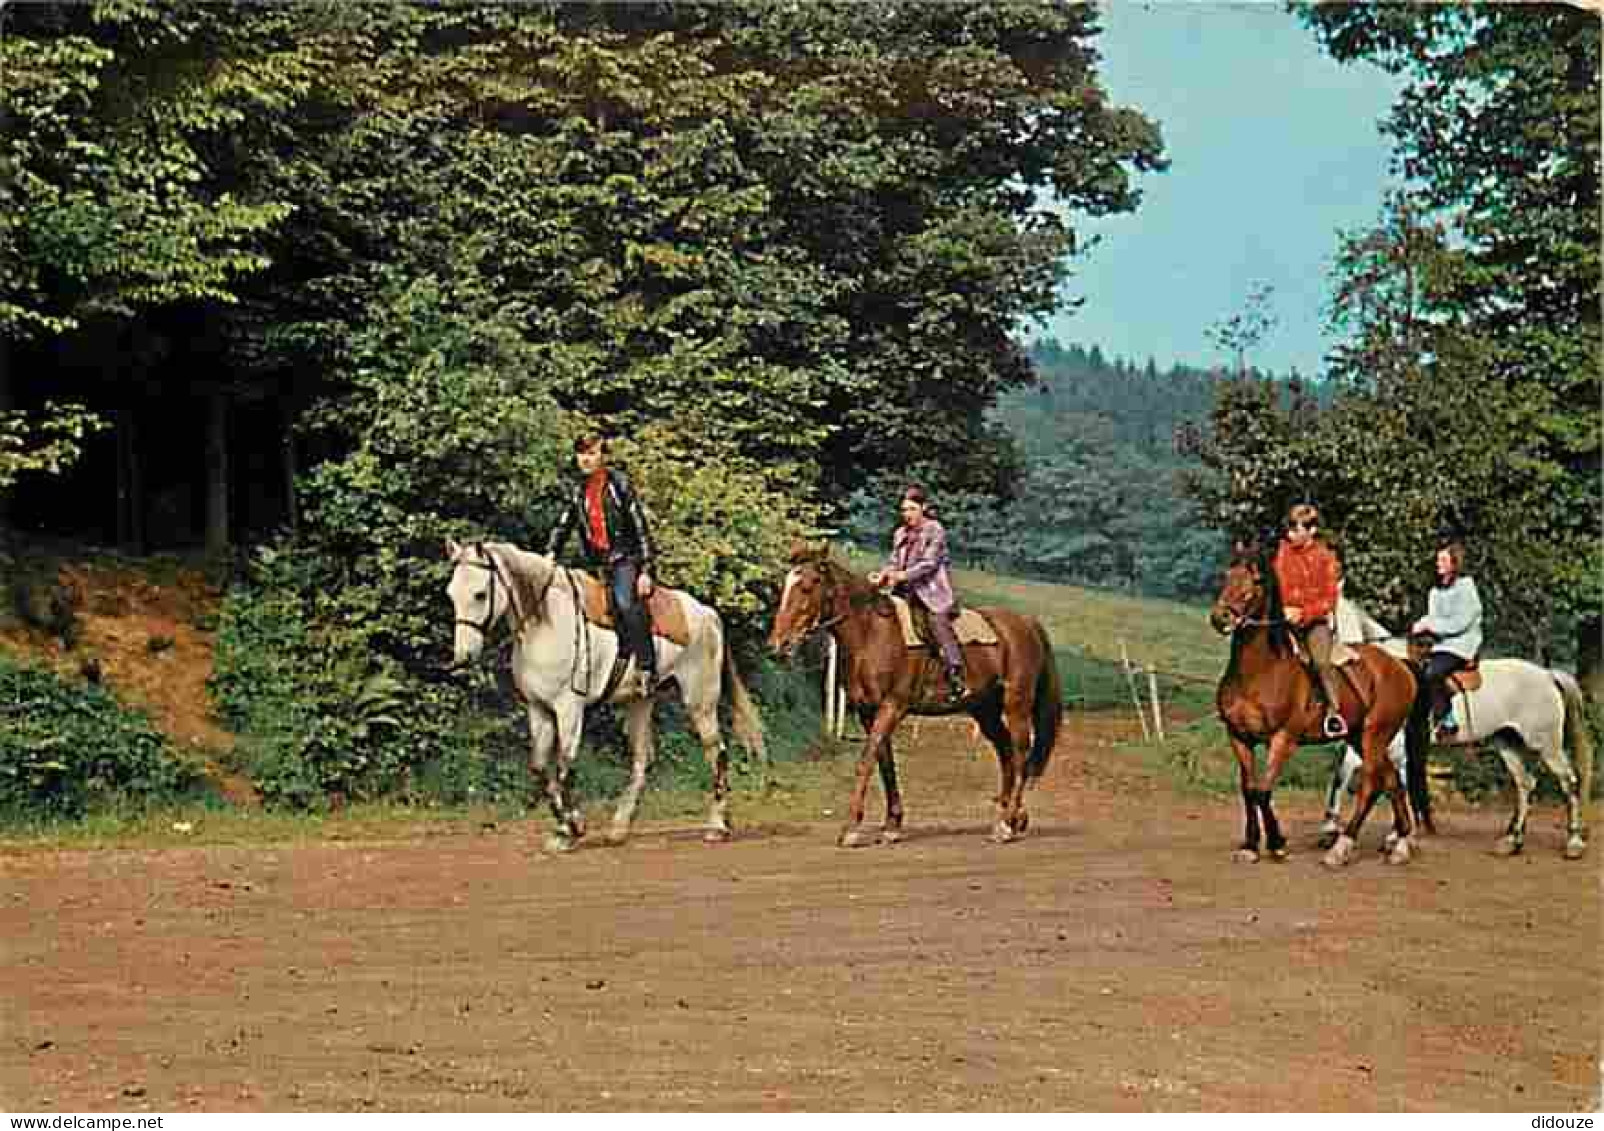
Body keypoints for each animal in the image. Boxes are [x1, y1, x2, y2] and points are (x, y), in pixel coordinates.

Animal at [442, 539, 760, 847]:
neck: (547, 624)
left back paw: (716, 826)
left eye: (480, 594)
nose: (463, 657)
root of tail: (707, 614)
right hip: (641, 702)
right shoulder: (538, 709)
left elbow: (564, 767)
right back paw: (619, 828)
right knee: (642, 761)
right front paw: (565, 826)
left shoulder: (569, 709)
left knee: (717, 754)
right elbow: (541, 769)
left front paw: (571, 829)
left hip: (700, 702)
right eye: (451, 595)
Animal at [766, 545, 1065, 847]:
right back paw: (1012, 817)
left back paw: (1006, 823)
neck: (871, 633)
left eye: (807, 586)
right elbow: (885, 763)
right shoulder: (868, 712)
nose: (778, 645)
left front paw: (850, 828)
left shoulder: (892, 706)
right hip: (985, 710)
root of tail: (1027, 623)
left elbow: (866, 761)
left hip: (1017, 705)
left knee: (1020, 752)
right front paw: (892, 825)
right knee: (1006, 751)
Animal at [1206, 542, 1424, 866]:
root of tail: (1400, 665)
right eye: (1227, 574)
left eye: (1256, 581)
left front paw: (1277, 844)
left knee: (1372, 785)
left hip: (1375, 735)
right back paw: (1400, 845)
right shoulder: (1239, 737)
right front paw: (1250, 845)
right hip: (1360, 737)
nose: (1221, 617)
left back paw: (1342, 847)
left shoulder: (1283, 739)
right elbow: (1248, 790)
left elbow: (1263, 790)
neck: (1260, 671)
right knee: (1392, 782)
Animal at [1315, 596, 1591, 859]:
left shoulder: (1391, 743)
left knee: (1569, 782)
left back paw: (1574, 843)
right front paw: (1332, 830)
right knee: (1525, 784)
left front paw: (1397, 837)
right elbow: (1343, 776)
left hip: (1546, 744)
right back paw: (1512, 841)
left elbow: (1398, 784)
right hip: (1507, 742)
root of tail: (1547, 675)